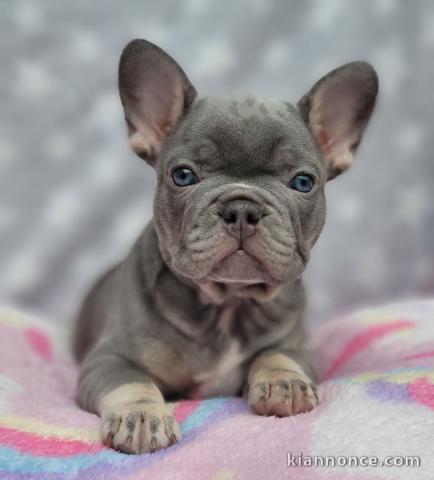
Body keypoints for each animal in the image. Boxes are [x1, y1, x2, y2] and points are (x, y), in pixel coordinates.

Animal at [73, 38, 378, 454]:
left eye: (303, 182)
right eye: (183, 175)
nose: (242, 208)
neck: (230, 303)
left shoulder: (298, 345)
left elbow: (278, 353)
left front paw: (284, 381)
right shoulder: (108, 359)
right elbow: (132, 381)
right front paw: (143, 415)